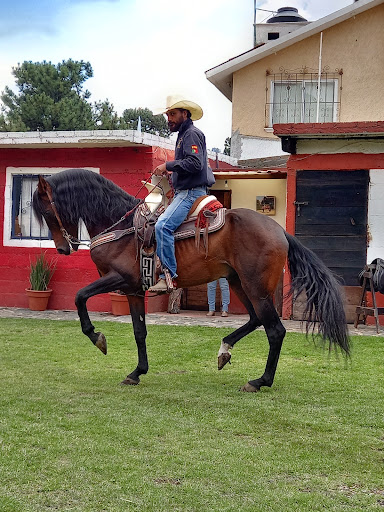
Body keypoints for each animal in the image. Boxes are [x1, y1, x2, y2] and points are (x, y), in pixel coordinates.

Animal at [32, 168, 352, 392]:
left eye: (46, 210)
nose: (62, 248)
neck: (121, 226)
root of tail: (279, 231)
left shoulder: (119, 278)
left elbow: (79, 297)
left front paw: (97, 337)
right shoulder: (133, 290)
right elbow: (139, 332)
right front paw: (137, 372)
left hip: (257, 288)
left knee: (275, 331)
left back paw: (259, 381)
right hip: (238, 283)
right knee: (254, 320)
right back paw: (225, 350)